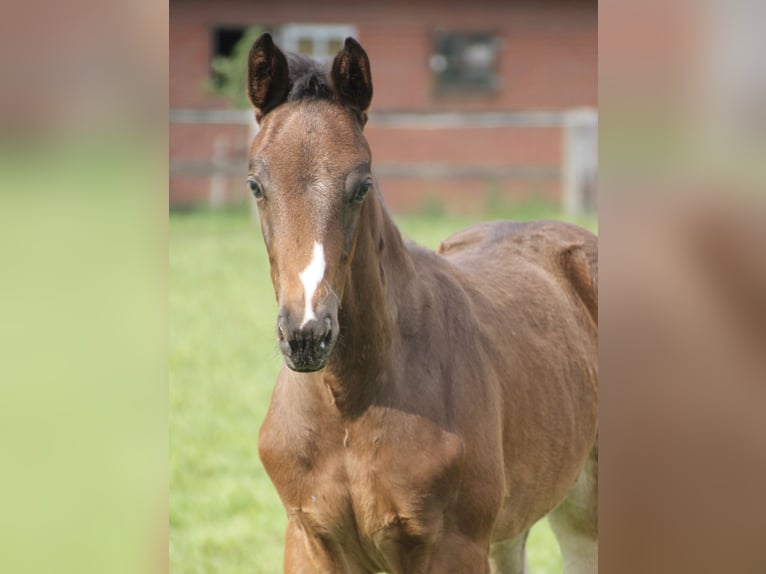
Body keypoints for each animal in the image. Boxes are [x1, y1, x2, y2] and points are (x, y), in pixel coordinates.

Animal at [247, 33, 598, 574]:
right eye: (256, 185)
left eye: (363, 184)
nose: (307, 334)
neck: (348, 405)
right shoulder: (307, 541)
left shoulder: (455, 547)